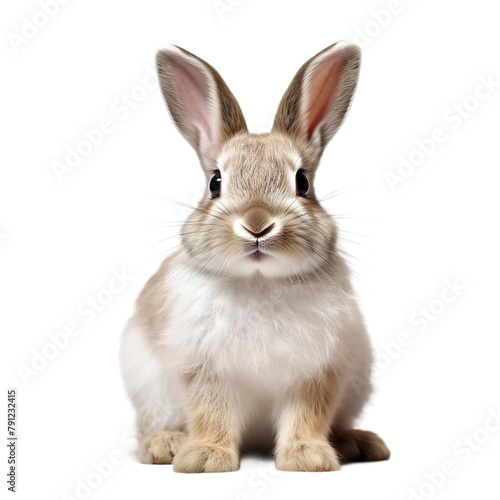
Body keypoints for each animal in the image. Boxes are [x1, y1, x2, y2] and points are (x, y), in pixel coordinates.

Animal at [120, 40, 390, 472]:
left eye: (303, 182)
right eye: (215, 183)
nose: (257, 224)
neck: (259, 281)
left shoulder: (318, 372)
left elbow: (307, 414)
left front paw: (307, 457)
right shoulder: (204, 370)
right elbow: (211, 412)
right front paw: (206, 458)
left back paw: (358, 443)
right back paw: (165, 445)